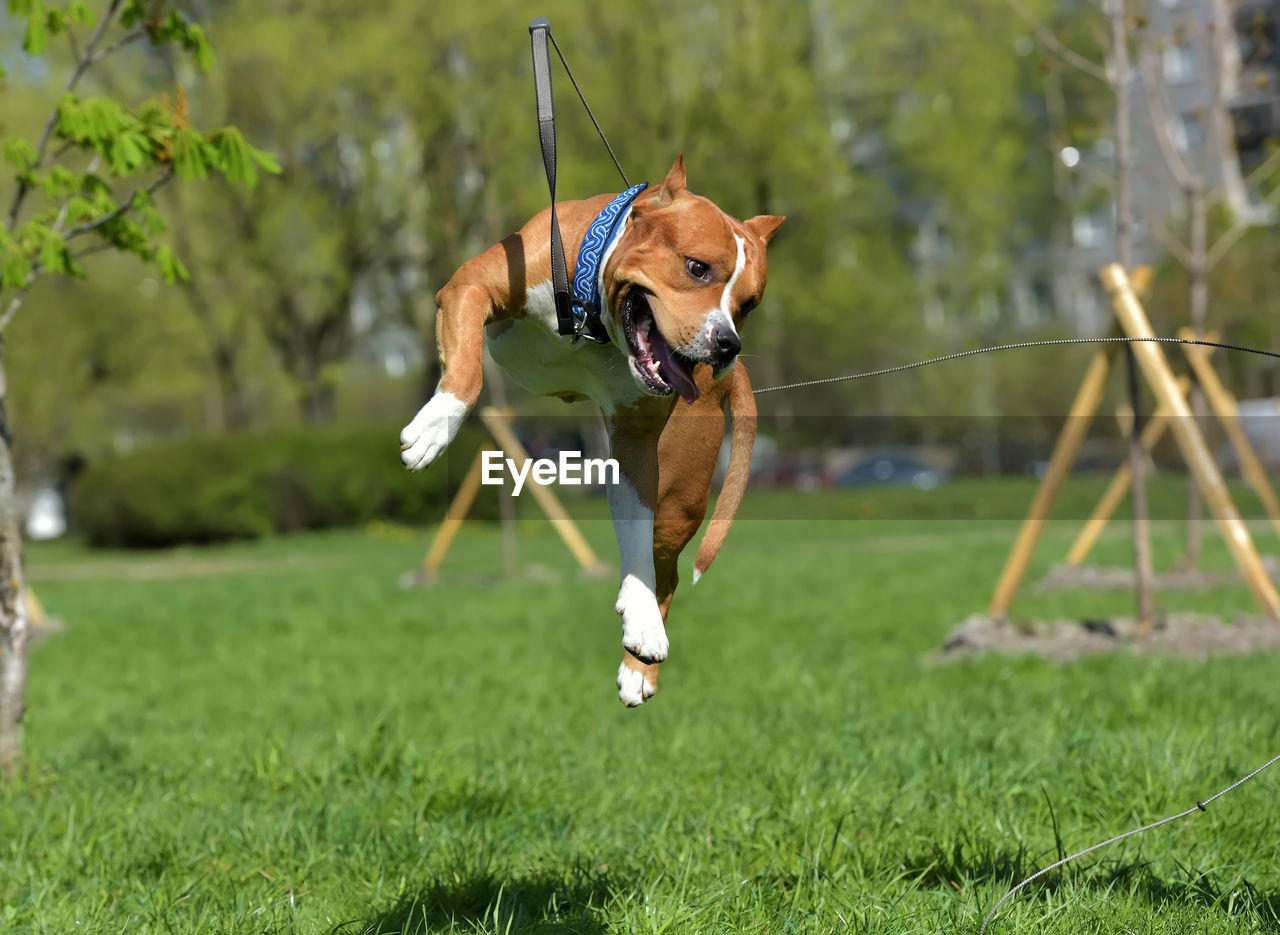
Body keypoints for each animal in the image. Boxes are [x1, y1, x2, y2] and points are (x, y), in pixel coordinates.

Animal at [399, 156, 778, 701]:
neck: (591, 321)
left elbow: (638, 541)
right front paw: (434, 427)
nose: (728, 343)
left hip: (679, 497)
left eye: (749, 305)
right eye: (696, 267)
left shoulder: (636, 442)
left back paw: (641, 661)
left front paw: (640, 616)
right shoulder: (470, 286)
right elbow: (468, 371)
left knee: (665, 570)